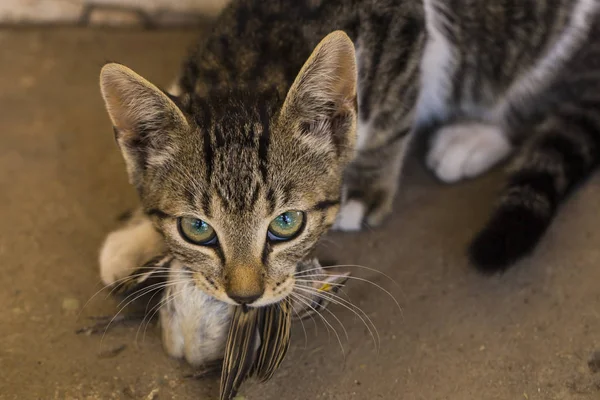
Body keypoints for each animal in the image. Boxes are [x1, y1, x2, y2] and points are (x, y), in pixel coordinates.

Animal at [98, 0, 600, 360]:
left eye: (286, 224)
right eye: (197, 228)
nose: (244, 296)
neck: (248, 65)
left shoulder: (407, 31)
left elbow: (391, 118)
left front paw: (362, 187)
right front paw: (137, 239)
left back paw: (474, 137)